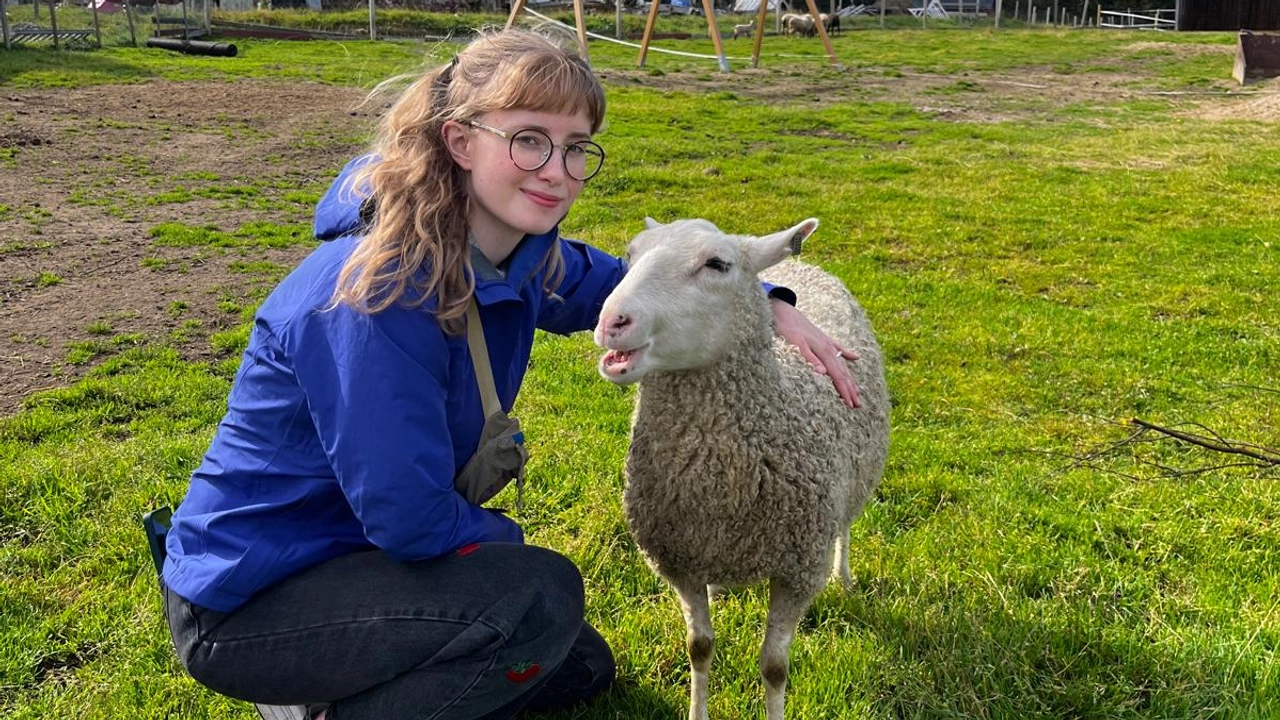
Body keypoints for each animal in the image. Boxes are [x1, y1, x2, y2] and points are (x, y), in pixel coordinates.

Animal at [594, 217, 890, 720]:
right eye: (630, 255)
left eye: (717, 264)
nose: (611, 322)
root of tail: (800, 264)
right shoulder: (680, 560)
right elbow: (699, 648)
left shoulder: (797, 571)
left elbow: (774, 668)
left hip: (851, 482)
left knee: (846, 526)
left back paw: (844, 577)